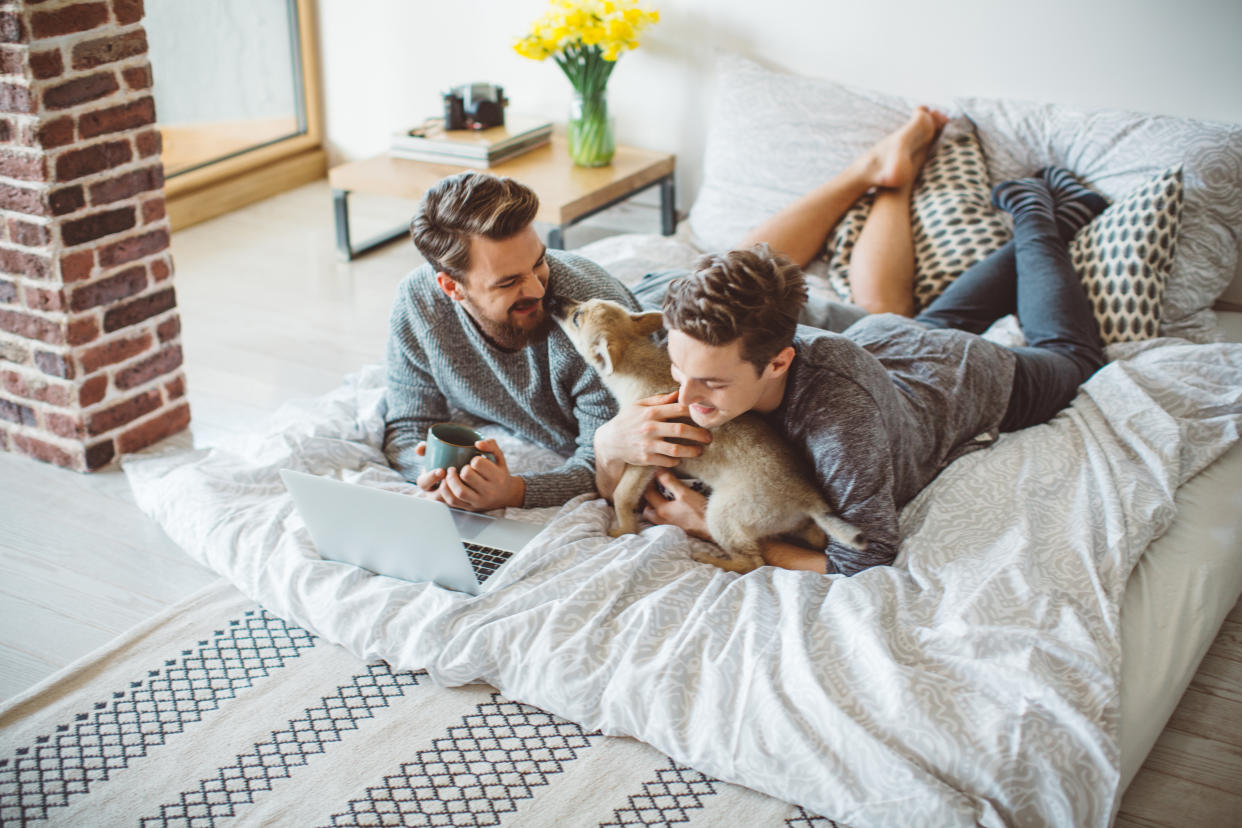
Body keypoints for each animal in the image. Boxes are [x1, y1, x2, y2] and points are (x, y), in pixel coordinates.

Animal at [553, 297, 864, 576]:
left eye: (576, 318)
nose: (556, 301)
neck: (635, 361)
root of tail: (808, 500)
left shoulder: (648, 457)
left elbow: (620, 495)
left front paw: (624, 529)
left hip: (720, 514)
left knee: (753, 562)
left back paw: (711, 560)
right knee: (813, 539)